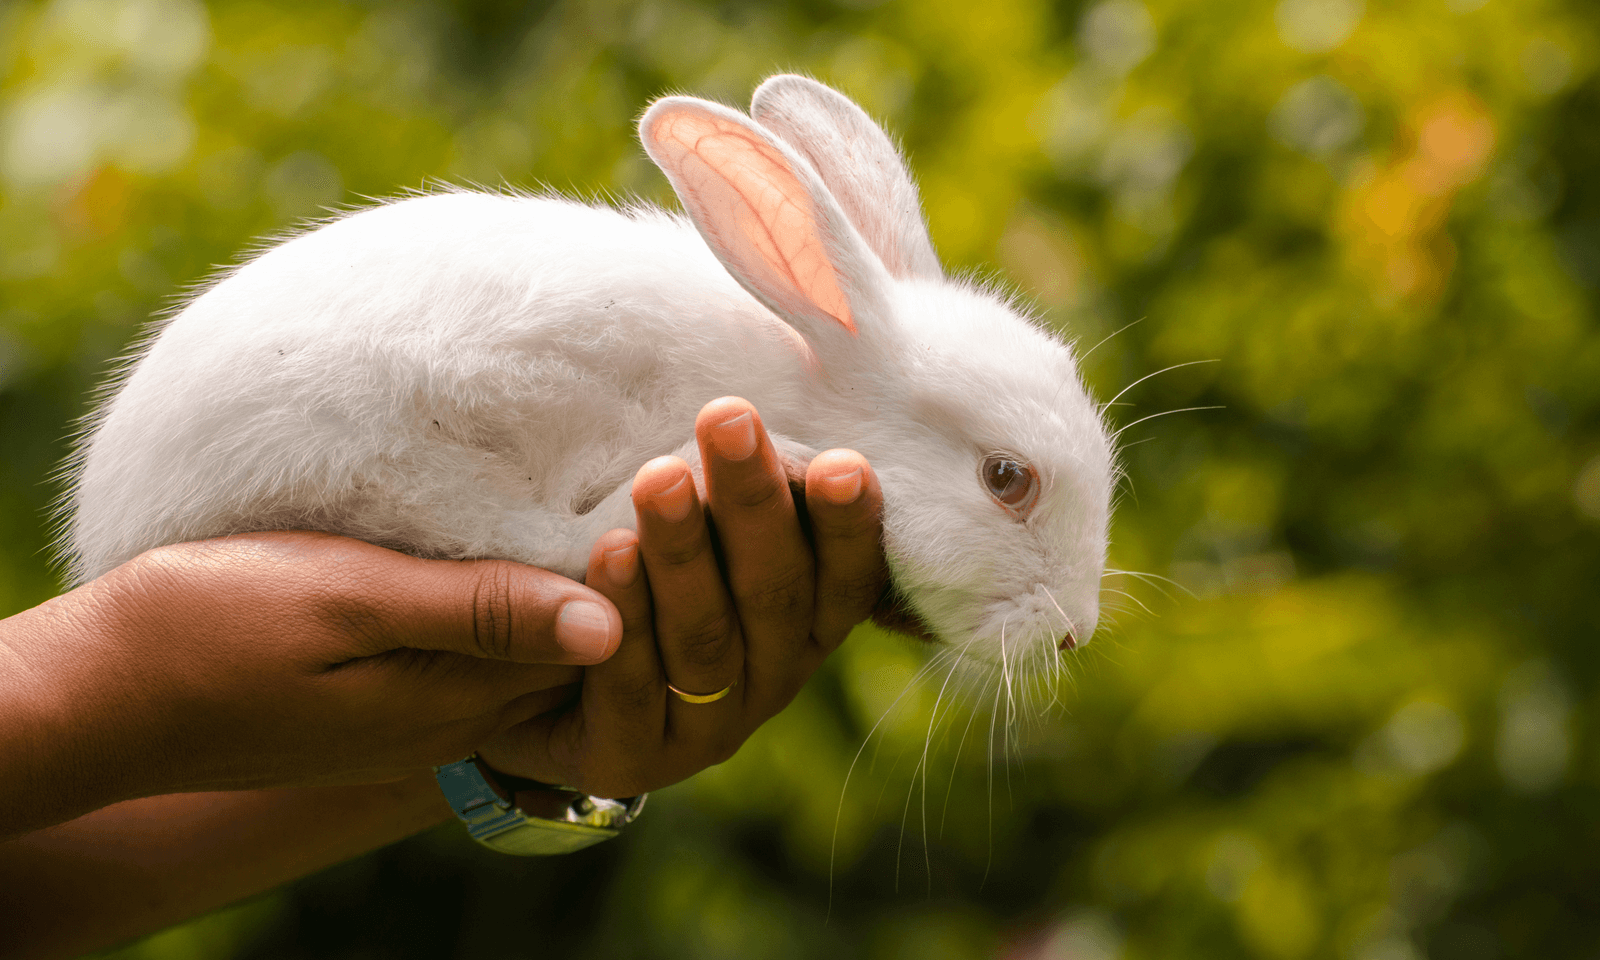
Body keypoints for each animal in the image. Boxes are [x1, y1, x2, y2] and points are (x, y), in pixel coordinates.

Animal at [60, 74, 1115, 674]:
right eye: (1007, 480)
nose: (1075, 632)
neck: (797, 368)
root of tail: (111, 526)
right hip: (399, 453)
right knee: (537, 540)